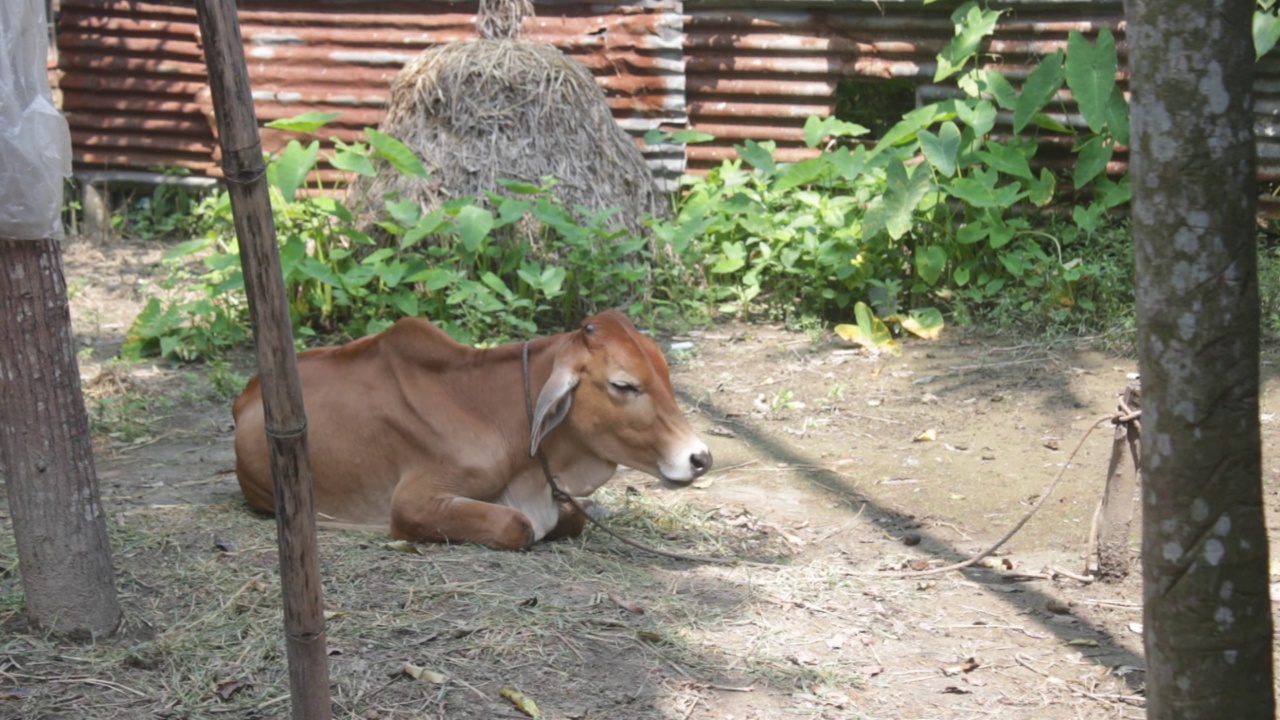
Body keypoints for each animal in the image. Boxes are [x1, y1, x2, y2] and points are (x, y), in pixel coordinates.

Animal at [230, 308, 711, 548]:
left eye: (666, 374)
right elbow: (518, 526)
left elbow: (573, 515)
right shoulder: (413, 502)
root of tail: (247, 394)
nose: (700, 458)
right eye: (623, 384)